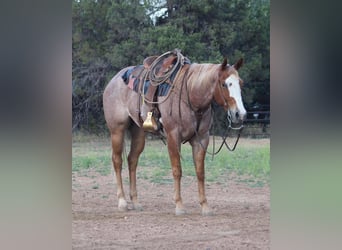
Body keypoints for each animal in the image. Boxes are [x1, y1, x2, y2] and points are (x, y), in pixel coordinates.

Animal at [103, 50, 247, 215]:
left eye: (240, 83)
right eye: (224, 84)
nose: (240, 114)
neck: (190, 94)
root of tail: (113, 81)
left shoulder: (202, 139)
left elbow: (200, 172)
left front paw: (205, 206)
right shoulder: (173, 137)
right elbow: (177, 170)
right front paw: (179, 205)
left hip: (138, 131)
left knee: (132, 160)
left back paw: (136, 202)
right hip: (117, 130)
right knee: (117, 161)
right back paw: (122, 201)